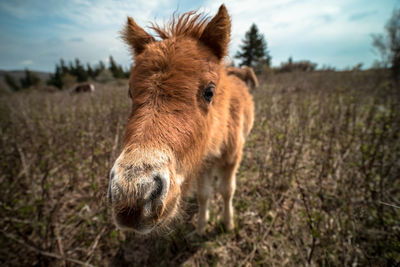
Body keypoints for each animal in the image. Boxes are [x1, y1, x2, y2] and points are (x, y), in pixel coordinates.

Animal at [108, 3, 255, 234]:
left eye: (209, 92)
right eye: (130, 92)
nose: (133, 193)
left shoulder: (232, 158)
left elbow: (227, 190)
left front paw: (228, 223)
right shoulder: (202, 163)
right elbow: (204, 194)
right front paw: (202, 227)